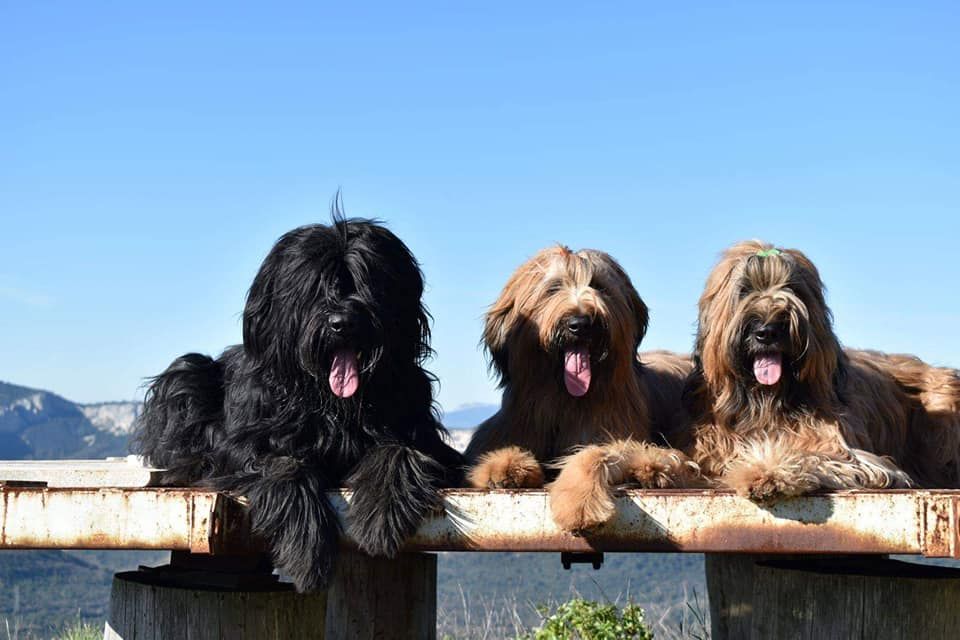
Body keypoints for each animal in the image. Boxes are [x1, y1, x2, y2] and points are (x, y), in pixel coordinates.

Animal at [136, 208, 464, 592]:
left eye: (367, 280)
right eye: (313, 285)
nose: (341, 322)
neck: (334, 406)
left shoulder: (429, 440)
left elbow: (401, 450)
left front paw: (382, 515)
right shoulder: (242, 446)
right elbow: (282, 463)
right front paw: (307, 549)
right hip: (187, 372)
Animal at [680, 240, 960, 500]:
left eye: (792, 288)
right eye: (744, 290)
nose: (767, 331)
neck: (768, 402)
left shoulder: (859, 458)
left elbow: (814, 455)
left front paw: (766, 470)